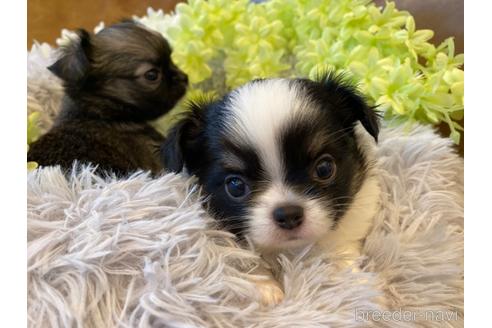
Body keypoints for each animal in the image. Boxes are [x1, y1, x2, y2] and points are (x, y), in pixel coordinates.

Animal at [161, 74, 380, 304]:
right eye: (235, 186)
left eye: (324, 168)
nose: (288, 214)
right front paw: (265, 289)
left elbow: (341, 256)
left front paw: (362, 289)